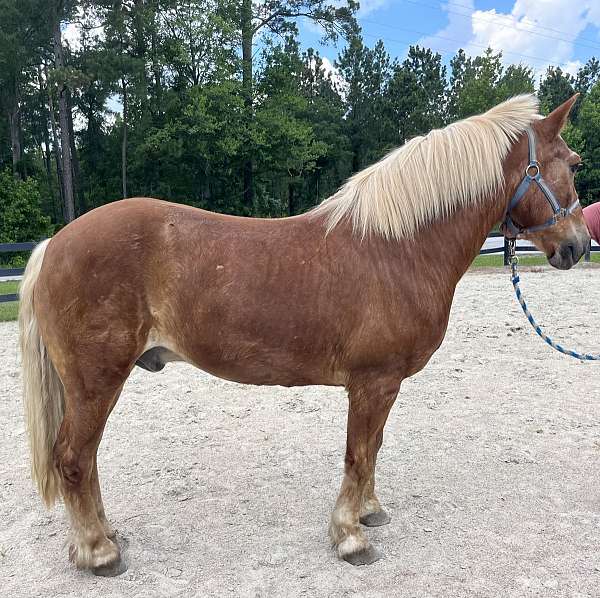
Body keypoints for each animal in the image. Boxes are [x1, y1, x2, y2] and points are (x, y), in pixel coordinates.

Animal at [19, 94, 592, 576]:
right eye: (573, 163)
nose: (578, 245)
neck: (399, 249)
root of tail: (55, 243)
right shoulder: (373, 382)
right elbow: (358, 453)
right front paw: (351, 538)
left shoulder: (384, 386)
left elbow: (373, 448)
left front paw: (369, 513)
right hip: (96, 382)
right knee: (74, 458)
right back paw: (99, 552)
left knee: (82, 461)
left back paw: (103, 539)